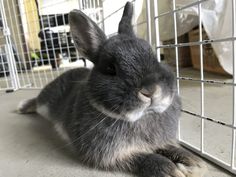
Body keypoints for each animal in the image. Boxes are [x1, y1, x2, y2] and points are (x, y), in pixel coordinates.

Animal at [18, 1, 206, 177]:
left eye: (154, 57)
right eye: (110, 68)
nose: (151, 90)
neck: (142, 117)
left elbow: (169, 147)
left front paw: (193, 162)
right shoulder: (110, 155)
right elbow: (142, 158)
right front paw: (171, 170)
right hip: (46, 99)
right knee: (37, 101)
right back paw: (23, 107)